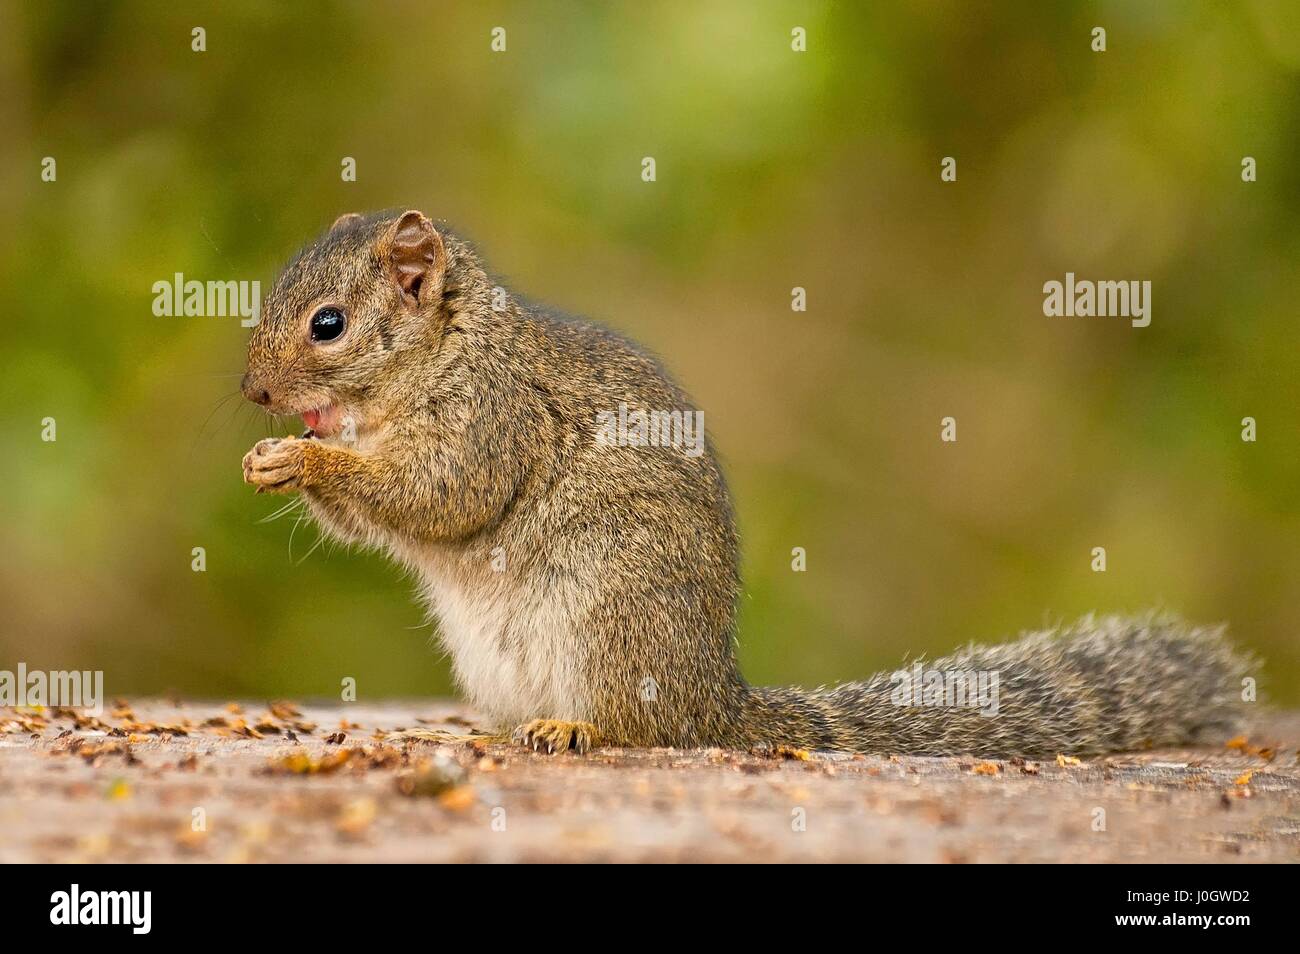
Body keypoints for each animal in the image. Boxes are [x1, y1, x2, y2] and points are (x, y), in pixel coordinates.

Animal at [239, 213, 1253, 759]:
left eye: (328, 324)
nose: (252, 394)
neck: (441, 353)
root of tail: (712, 699)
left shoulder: (492, 416)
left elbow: (442, 492)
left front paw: (303, 460)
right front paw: (271, 457)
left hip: (606, 615)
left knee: (637, 727)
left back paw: (572, 730)